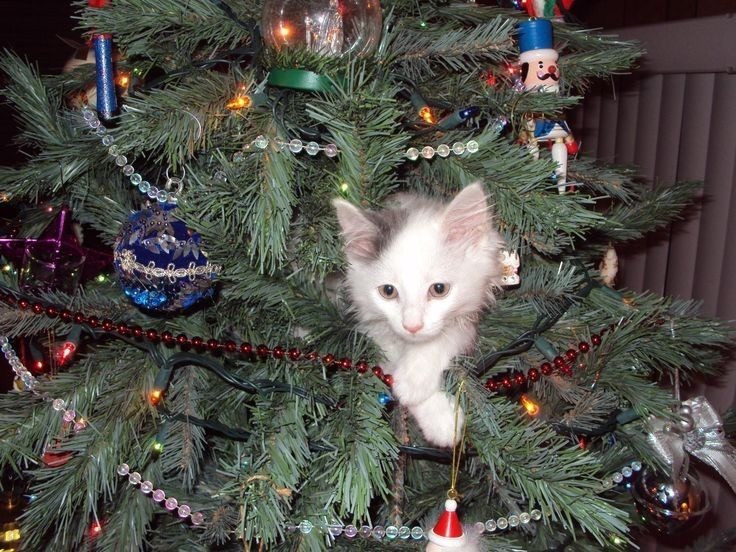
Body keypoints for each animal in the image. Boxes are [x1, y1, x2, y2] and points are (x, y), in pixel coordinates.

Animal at [333, 183, 504, 447]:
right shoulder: (372, 326)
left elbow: (443, 337)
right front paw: (439, 417)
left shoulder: (471, 313)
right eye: (388, 291)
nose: (411, 326)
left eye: (439, 289)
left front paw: (415, 379)